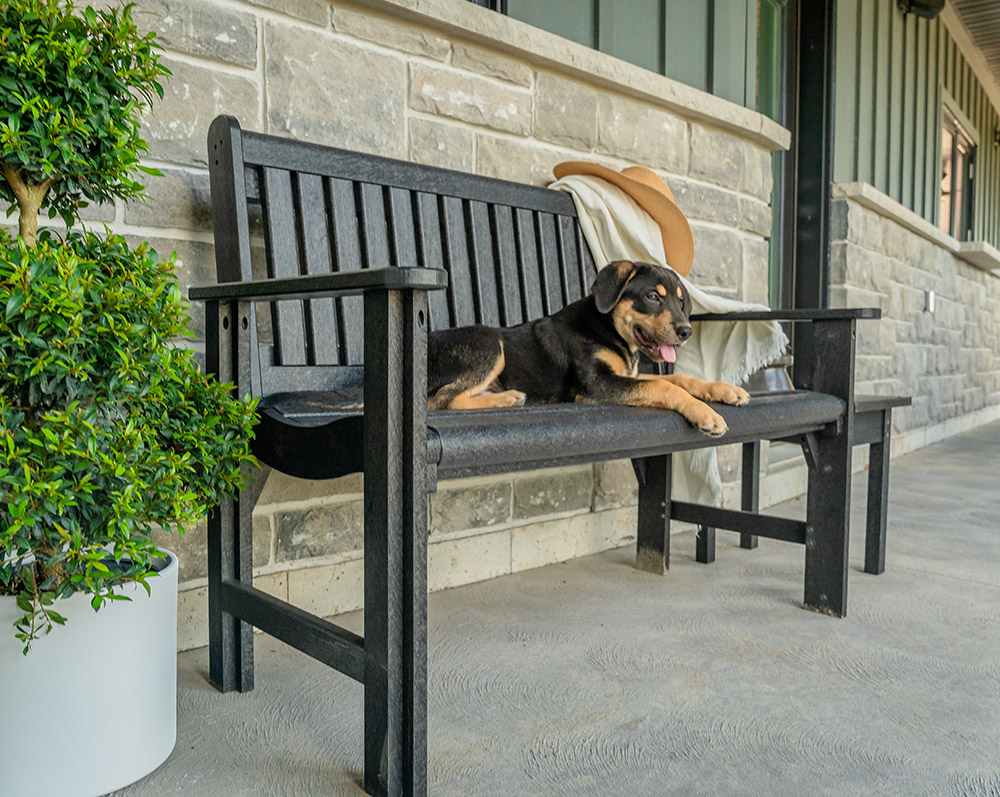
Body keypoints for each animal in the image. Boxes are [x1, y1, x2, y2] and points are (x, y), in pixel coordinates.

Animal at [430, 260, 752, 436]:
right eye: (652, 297)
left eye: (681, 301)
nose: (686, 331)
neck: (609, 329)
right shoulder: (595, 384)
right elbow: (665, 387)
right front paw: (706, 415)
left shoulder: (629, 375)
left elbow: (679, 378)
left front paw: (725, 390)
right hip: (488, 341)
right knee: (441, 401)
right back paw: (506, 398)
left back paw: (506, 398)